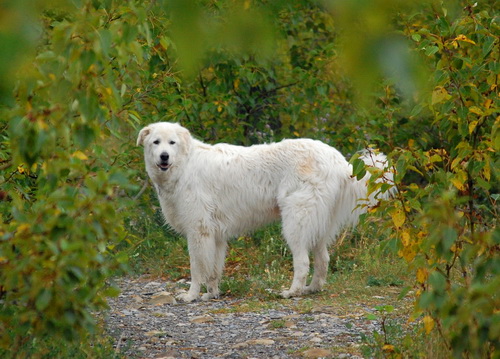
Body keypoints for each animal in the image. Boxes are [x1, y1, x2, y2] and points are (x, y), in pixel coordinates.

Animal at [138, 122, 394, 302]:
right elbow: (214, 270)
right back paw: (311, 289)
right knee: (323, 260)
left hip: (295, 222)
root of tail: (340, 162)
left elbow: (196, 268)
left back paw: (292, 292)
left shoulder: (198, 232)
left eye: (172, 143)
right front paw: (211, 294)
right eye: (156, 142)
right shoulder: (216, 235)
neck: (184, 165)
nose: (164, 156)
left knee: (302, 262)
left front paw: (191, 296)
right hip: (317, 225)